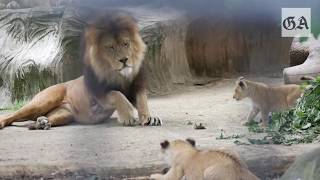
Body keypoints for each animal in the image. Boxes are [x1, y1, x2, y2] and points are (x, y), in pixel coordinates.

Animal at [0, 11, 161, 129]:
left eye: (126, 43)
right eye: (110, 47)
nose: (124, 60)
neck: (118, 74)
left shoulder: (135, 88)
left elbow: (142, 100)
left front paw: (149, 117)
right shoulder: (98, 92)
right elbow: (116, 94)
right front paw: (128, 116)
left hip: (65, 114)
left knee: (38, 120)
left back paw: (42, 122)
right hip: (42, 102)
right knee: (11, 115)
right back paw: (4, 123)